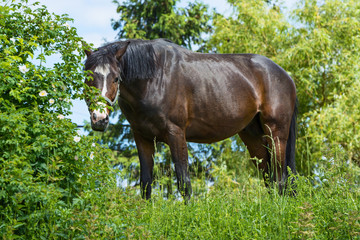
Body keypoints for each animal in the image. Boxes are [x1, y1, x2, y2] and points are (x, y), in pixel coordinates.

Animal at [84, 39, 298, 201]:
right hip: (253, 137)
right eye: (87, 78)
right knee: (269, 178)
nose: (99, 118)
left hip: (276, 134)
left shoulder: (176, 133)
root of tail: (285, 76)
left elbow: (183, 180)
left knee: (280, 178)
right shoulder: (142, 137)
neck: (154, 79)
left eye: (116, 78)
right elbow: (145, 183)